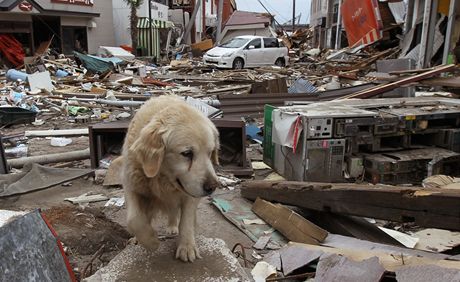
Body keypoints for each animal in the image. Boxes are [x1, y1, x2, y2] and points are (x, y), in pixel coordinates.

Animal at [121, 94, 220, 262]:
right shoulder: (131, 185)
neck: (162, 180)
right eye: (187, 153)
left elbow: (186, 220)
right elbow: (134, 219)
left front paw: (187, 246)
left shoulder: (190, 194)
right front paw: (151, 241)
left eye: (210, 152)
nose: (212, 187)